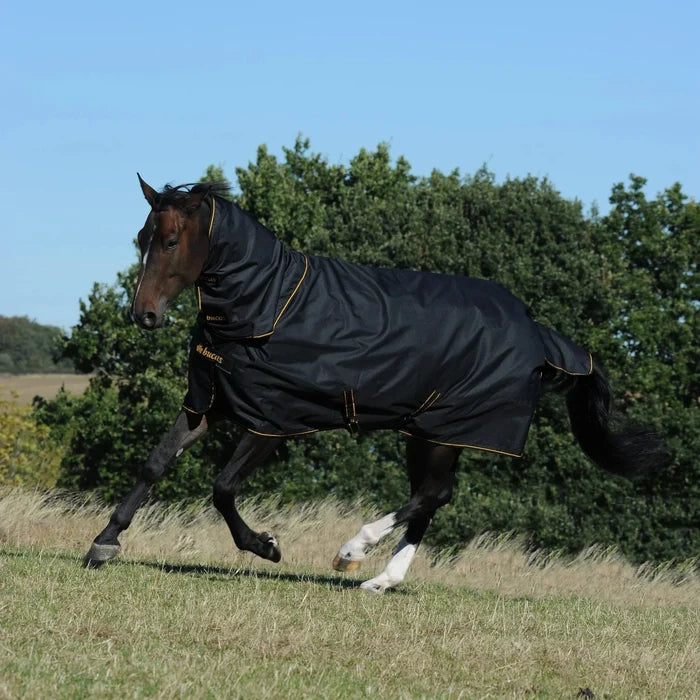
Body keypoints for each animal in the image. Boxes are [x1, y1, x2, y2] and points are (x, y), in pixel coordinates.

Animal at [83, 176, 669, 593]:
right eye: (141, 239)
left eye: (171, 240)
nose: (144, 316)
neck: (267, 303)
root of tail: (537, 331)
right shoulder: (210, 402)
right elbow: (155, 463)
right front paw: (104, 544)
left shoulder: (273, 421)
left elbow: (222, 488)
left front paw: (267, 545)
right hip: (429, 431)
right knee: (432, 497)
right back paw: (381, 580)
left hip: (444, 430)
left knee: (431, 494)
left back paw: (352, 552)